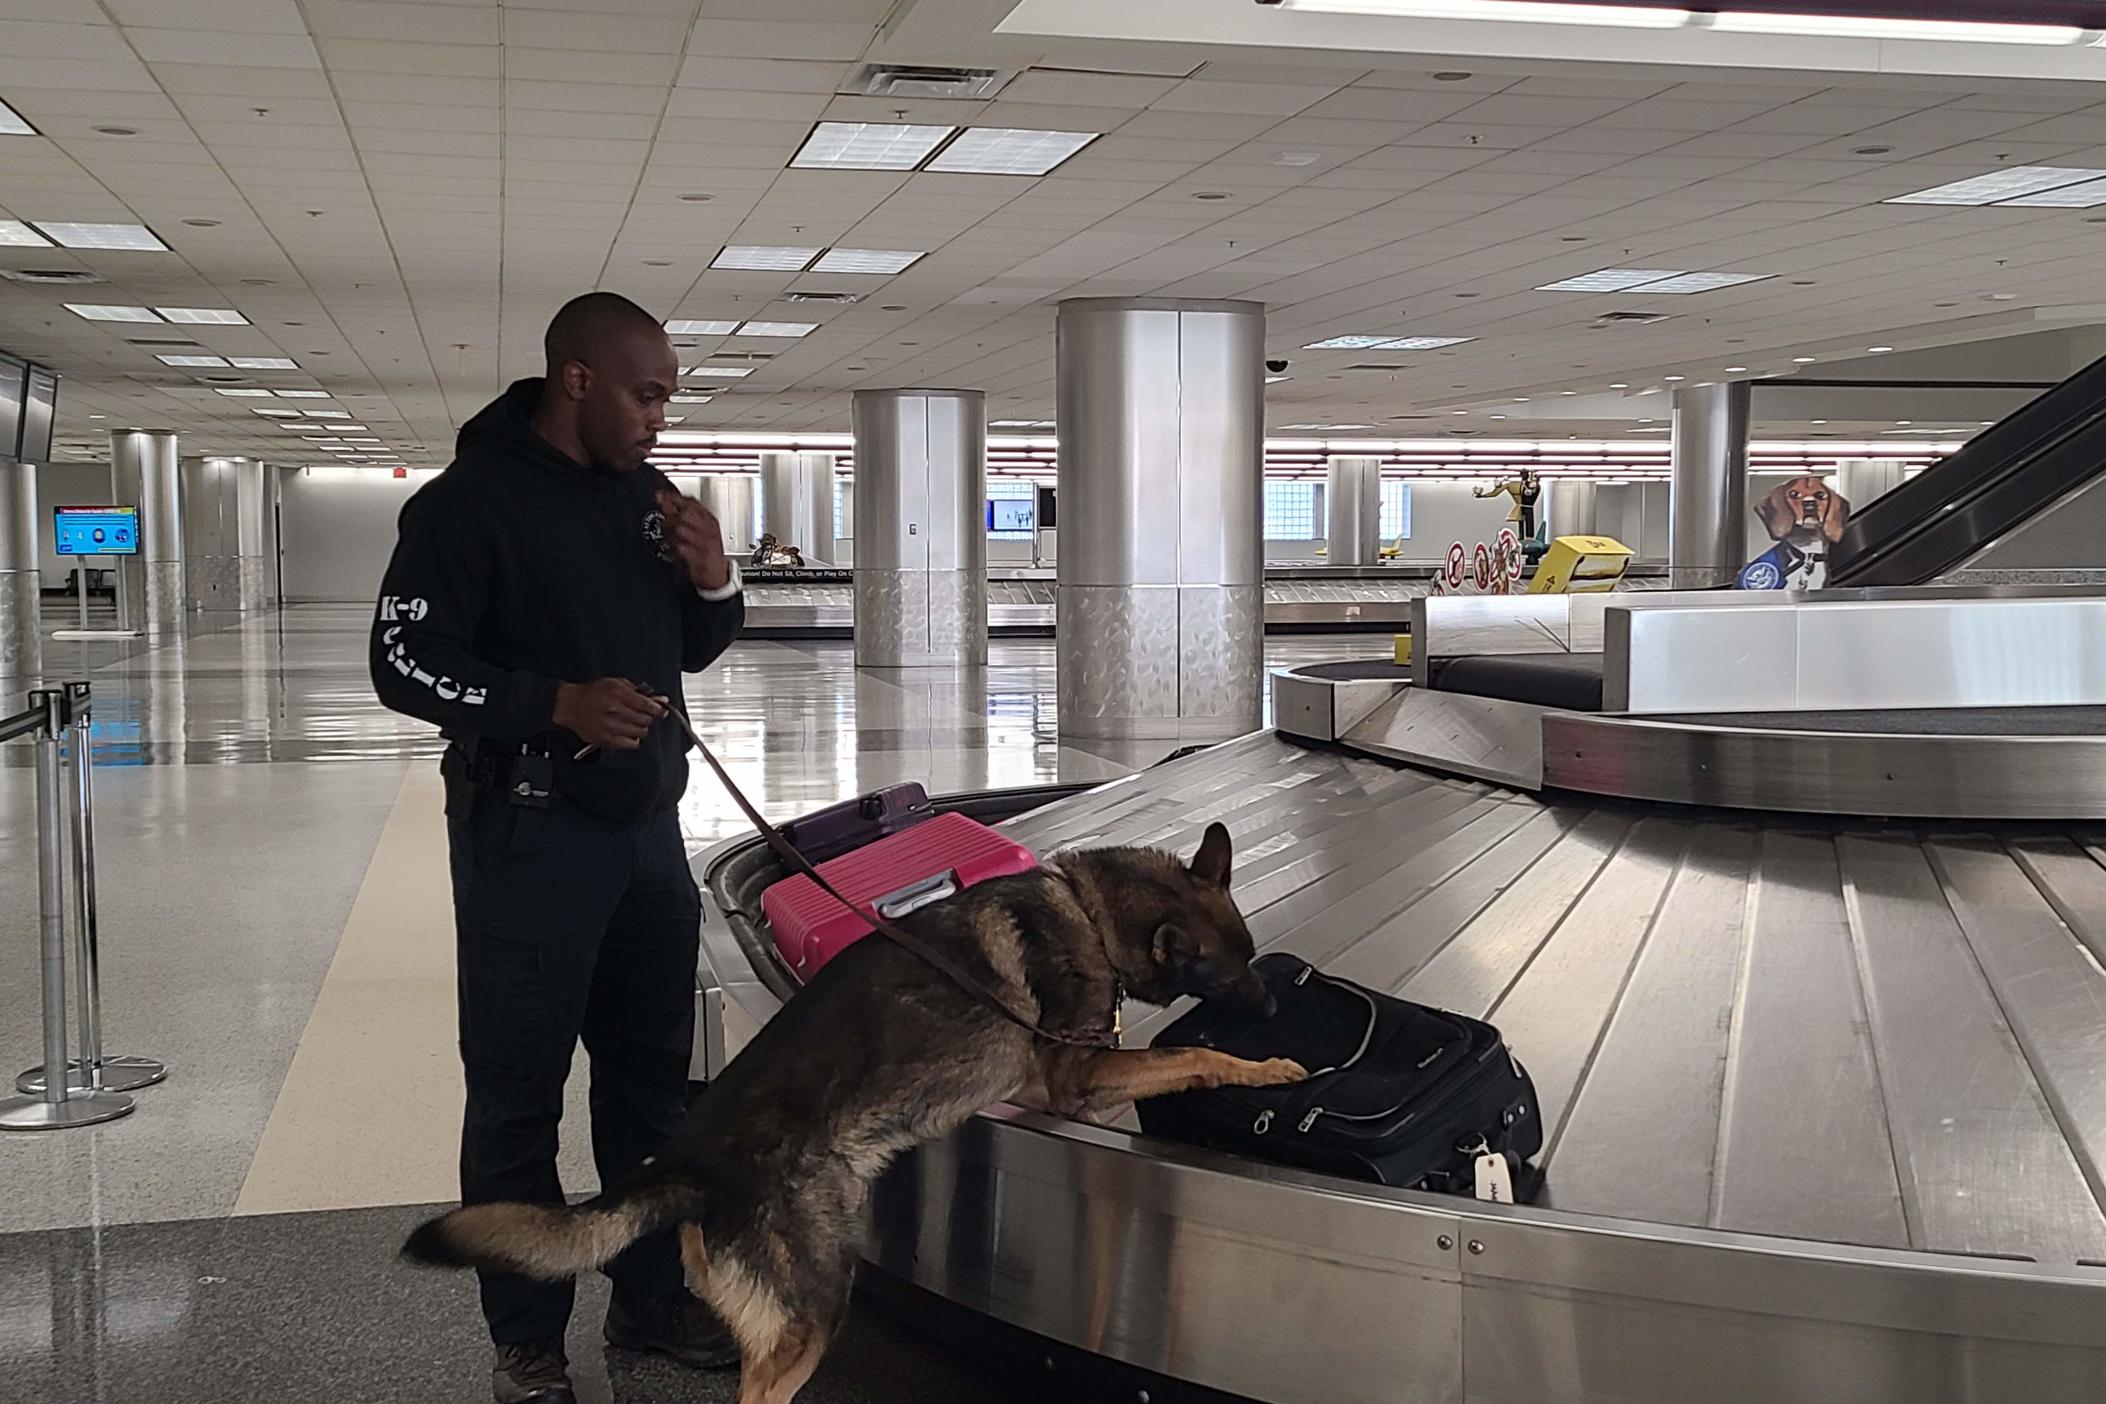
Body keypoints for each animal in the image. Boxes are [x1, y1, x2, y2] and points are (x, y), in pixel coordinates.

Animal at [398, 825, 1297, 1404]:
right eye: (1231, 974)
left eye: (1254, 959)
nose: (1273, 1004)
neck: (1086, 907)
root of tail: (687, 1163)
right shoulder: (1077, 1076)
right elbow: (1192, 1061)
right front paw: (1265, 1068)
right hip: (813, 1311)